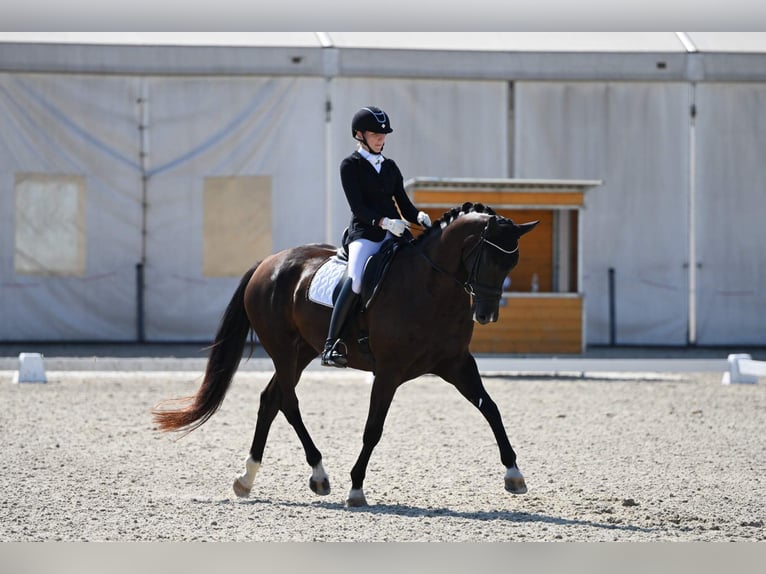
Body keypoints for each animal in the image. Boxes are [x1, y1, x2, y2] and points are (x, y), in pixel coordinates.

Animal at [153, 202, 540, 508]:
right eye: (488, 258)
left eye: (511, 263)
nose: (487, 315)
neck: (430, 287)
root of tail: (269, 262)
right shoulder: (388, 372)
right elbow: (373, 429)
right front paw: (356, 489)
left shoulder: (456, 363)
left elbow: (490, 408)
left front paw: (514, 473)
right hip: (282, 349)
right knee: (288, 402)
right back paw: (318, 474)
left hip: (302, 351)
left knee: (271, 399)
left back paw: (248, 479)